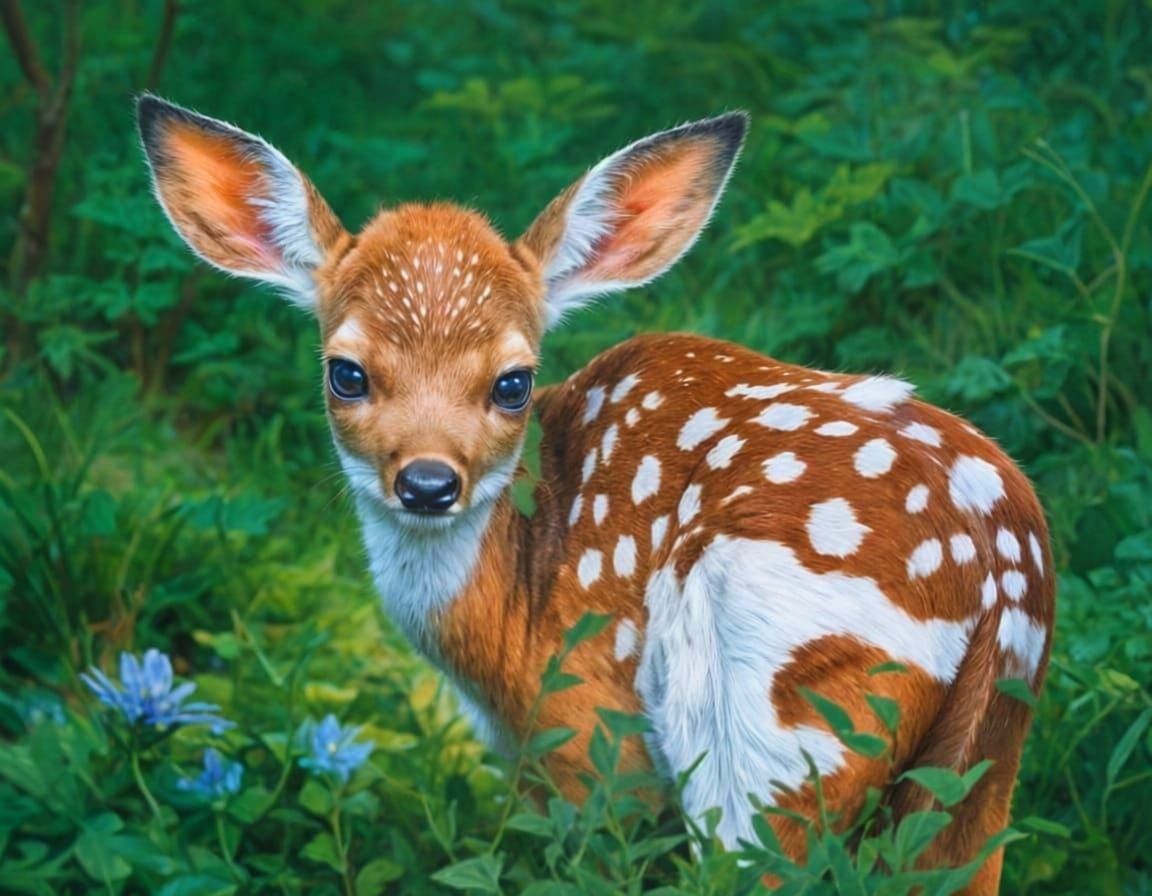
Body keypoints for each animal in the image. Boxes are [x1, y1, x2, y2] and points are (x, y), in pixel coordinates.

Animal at [138, 95, 1054, 892]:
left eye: (513, 382)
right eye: (347, 372)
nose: (428, 482)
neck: (511, 614)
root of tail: (996, 581)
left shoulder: (592, 744)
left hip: (773, 736)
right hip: (978, 782)